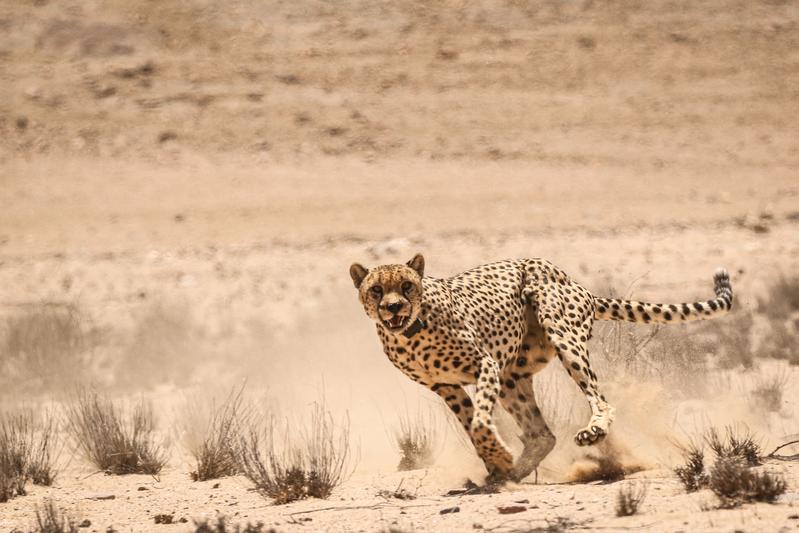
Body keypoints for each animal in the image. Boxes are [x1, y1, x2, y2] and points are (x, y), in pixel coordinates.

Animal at [346, 256, 736, 480]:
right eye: (376, 289)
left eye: (406, 285)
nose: (393, 307)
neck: (411, 330)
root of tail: (577, 284)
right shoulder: (447, 387)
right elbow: (472, 426)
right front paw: (497, 461)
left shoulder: (485, 364)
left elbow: (480, 421)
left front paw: (498, 454)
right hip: (513, 377)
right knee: (542, 434)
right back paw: (512, 473)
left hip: (561, 334)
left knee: (600, 399)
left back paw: (592, 431)